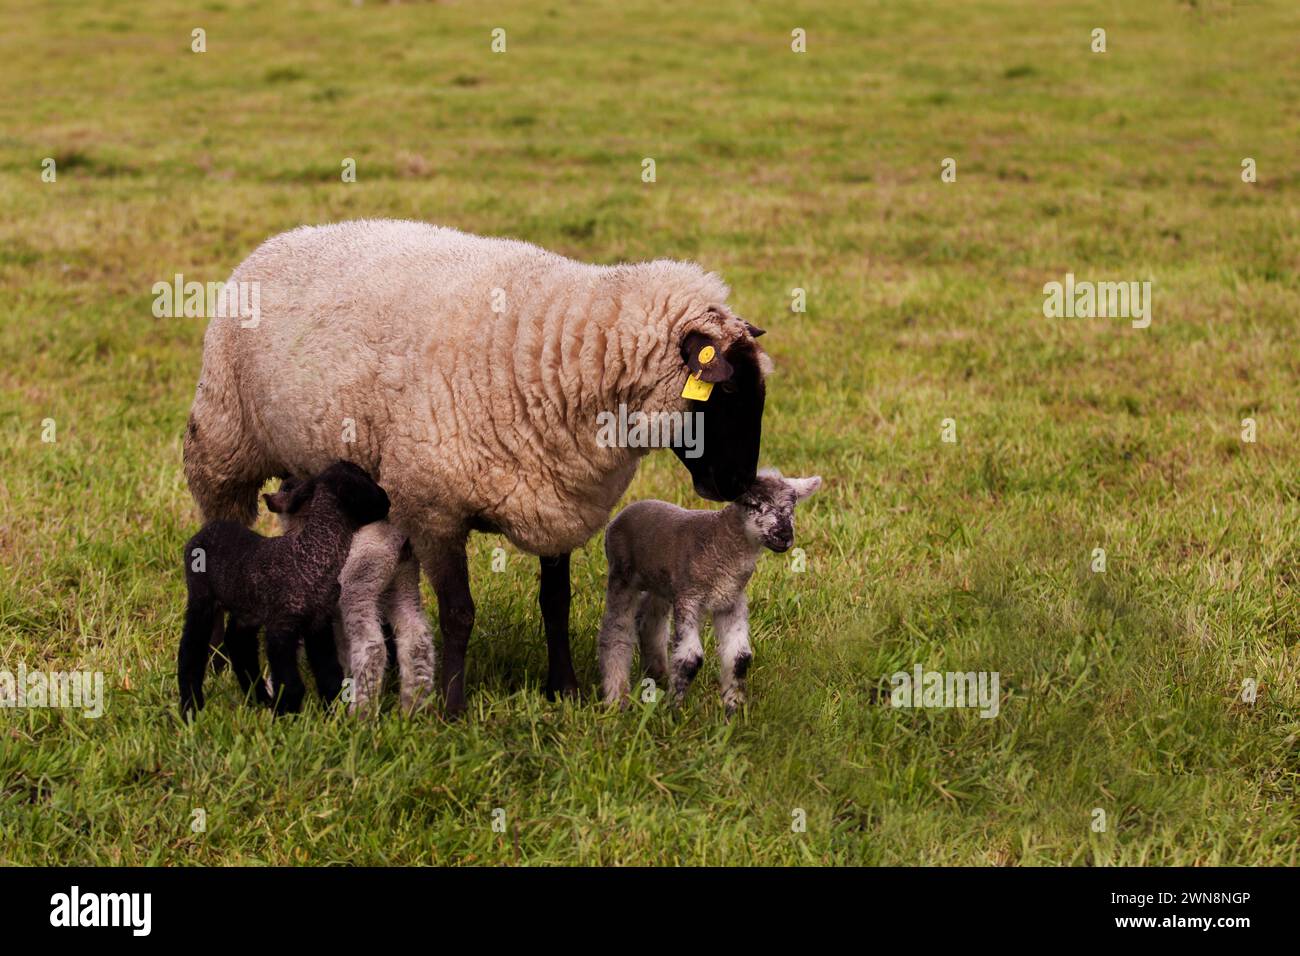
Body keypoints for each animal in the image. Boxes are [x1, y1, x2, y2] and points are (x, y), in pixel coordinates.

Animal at [598, 468, 821, 712]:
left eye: (791, 508)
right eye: (753, 504)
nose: (784, 536)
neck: (720, 544)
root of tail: (621, 515)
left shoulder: (731, 601)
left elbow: (740, 658)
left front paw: (733, 708)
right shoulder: (689, 598)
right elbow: (690, 659)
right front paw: (674, 710)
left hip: (661, 584)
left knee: (650, 623)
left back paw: (658, 675)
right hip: (622, 574)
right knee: (616, 630)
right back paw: (617, 697)